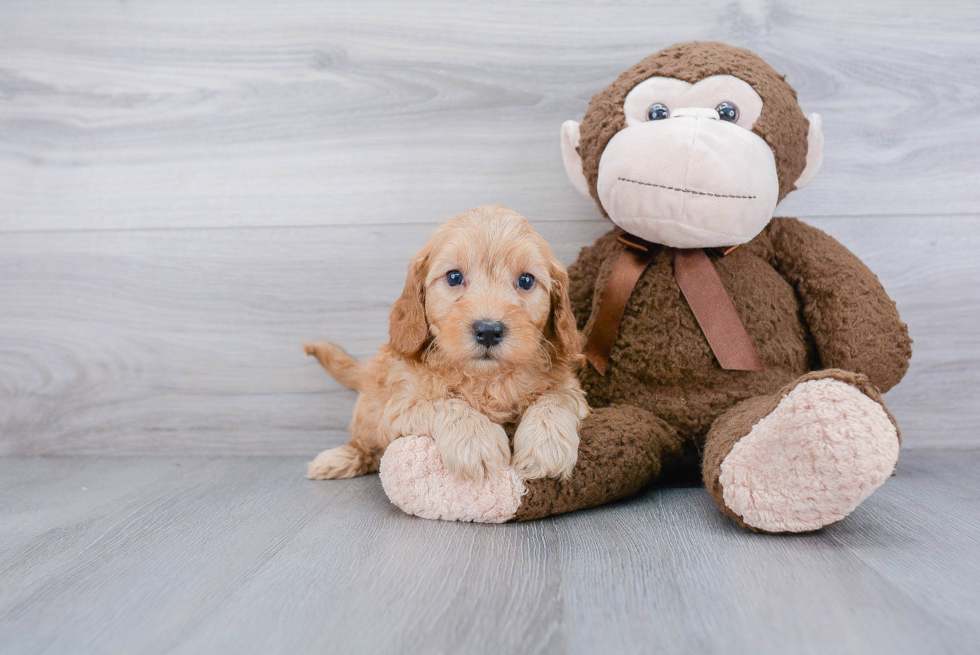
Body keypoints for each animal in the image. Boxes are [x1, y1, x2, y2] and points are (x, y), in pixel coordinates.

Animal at [304, 208, 588, 484]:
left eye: (526, 281)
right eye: (454, 277)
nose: (488, 331)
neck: (486, 379)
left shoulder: (568, 385)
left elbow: (556, 398)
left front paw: (547, 445)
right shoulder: (400, 402)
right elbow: (443, 402)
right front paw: (475, 440)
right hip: (369, 409)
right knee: (366, 445)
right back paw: (338, 459)